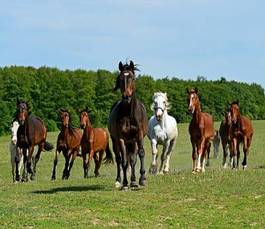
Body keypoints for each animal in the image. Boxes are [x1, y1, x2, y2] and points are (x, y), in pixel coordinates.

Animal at [108, 60, 148, 190]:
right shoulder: (121, 138)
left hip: (132, 141)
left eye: (133, 78)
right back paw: (118, 180)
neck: (129, 114)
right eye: (120, 78)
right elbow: (124, 161)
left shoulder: (138, 136)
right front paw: (125, 184)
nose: (127, 96)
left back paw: (134, 180)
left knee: (132, 159)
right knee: (119, 158)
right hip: (116, 140)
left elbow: (139, 155)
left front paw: (140, 180)